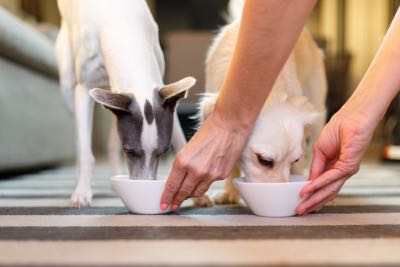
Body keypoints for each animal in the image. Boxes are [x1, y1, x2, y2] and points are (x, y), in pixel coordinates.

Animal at [55, 0, 195, 208]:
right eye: (129, 151)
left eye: (164, 151)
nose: (144, 190)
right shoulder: (84, 89)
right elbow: (85, 151)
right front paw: (82, 193)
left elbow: (180, 140)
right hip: (67, 81)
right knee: (79, 139)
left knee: (111, 142)